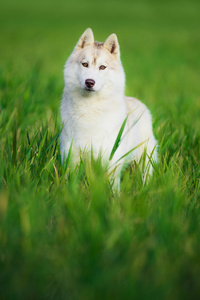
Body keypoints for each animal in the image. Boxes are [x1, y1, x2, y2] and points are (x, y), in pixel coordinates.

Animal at [60, 27, 157, 188]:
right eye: (85, 64)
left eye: (102, 67)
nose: (90, 82)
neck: (90, 109)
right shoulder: (72, 156)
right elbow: (71, 181)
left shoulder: (111, 160)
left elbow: (112, 186)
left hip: (144, 160)